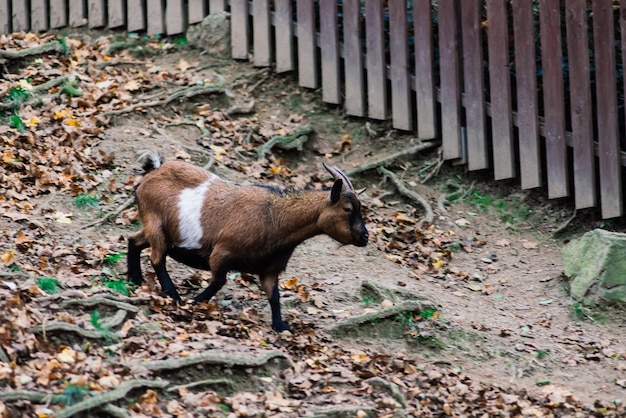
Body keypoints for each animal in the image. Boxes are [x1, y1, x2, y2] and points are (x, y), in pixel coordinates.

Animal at [126, 152, 366, 332]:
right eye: (347, 209)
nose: (365, 237)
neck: (275, 218)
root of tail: (153, 171)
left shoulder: (269, 269)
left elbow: (274, 296)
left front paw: (281, 326)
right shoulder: (221, 253)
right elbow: (218, 281)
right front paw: (194, 302)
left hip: (156, 228)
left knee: (134, 241)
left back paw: (135, 279)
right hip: (155, 222)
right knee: (157, 258)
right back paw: (173, 295)